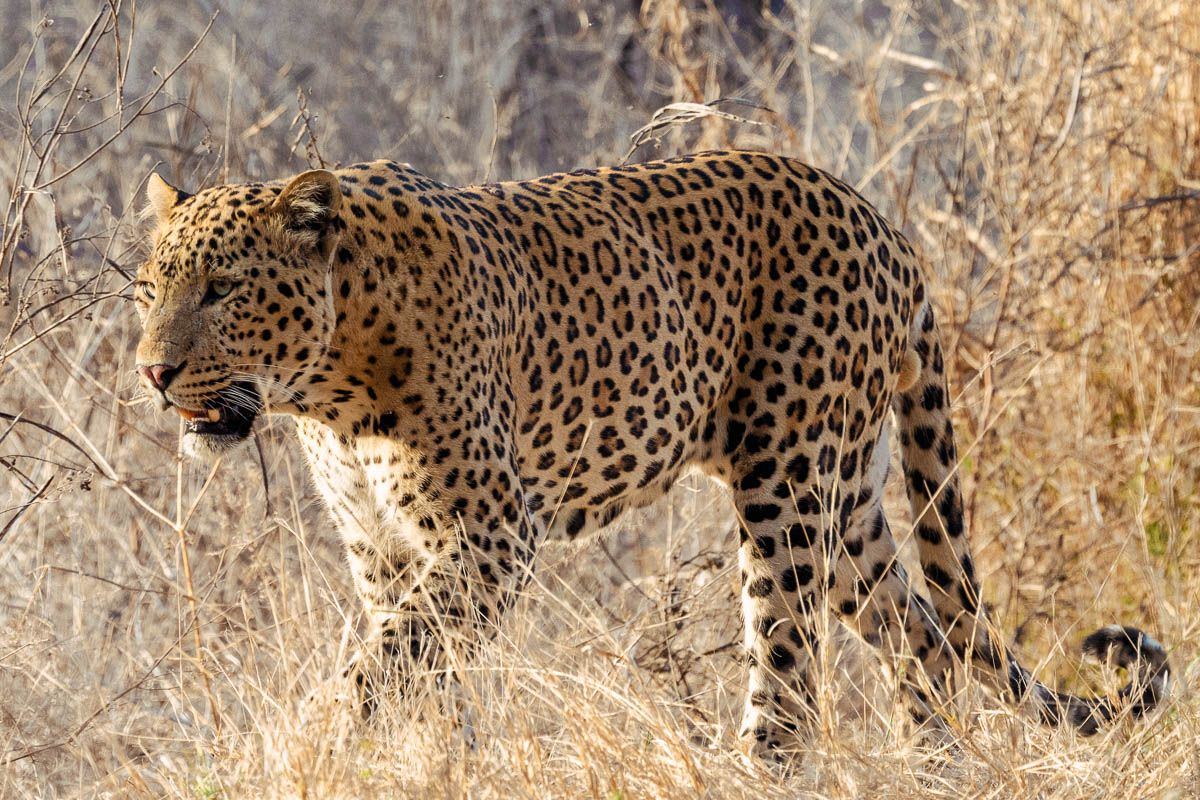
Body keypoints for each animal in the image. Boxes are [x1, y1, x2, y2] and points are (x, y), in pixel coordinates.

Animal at [132, 149, 1168, 756]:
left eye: (223, 289)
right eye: (148, 287)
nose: (152, 370)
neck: (329, 387)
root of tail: (885, 225)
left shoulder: (490, 532)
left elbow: (389, 657)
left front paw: (316, 741)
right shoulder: (383, 546)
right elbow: (416, 659)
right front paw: (422, 758)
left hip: (788, 489)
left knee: (791, 679)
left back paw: (764, 767)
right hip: (847, 505)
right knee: (925, 636)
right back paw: (936, 765)